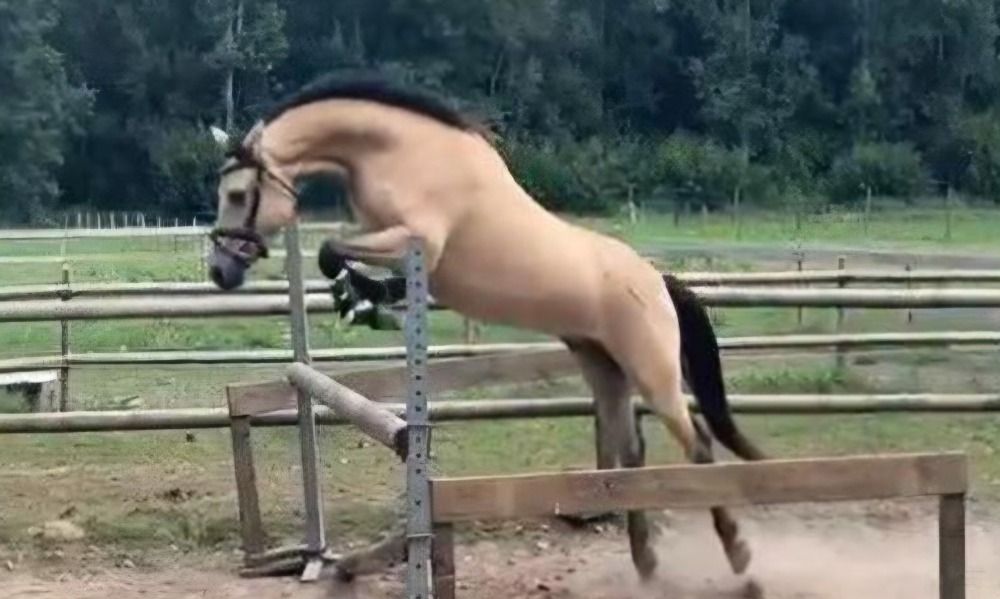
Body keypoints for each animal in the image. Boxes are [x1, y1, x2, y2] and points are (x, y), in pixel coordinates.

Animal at [206, 72, 768, 583]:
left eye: (237, 194)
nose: (219, 272)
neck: (397, 151)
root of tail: (658, 280)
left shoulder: (418, 241)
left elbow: (331, 250)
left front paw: (364, 301)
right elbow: (338, 254)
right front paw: (357, 299)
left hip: (652, 369)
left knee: (698, 447)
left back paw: (739, 555)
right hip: (604, 368)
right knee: (635, 457)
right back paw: (646, 563)